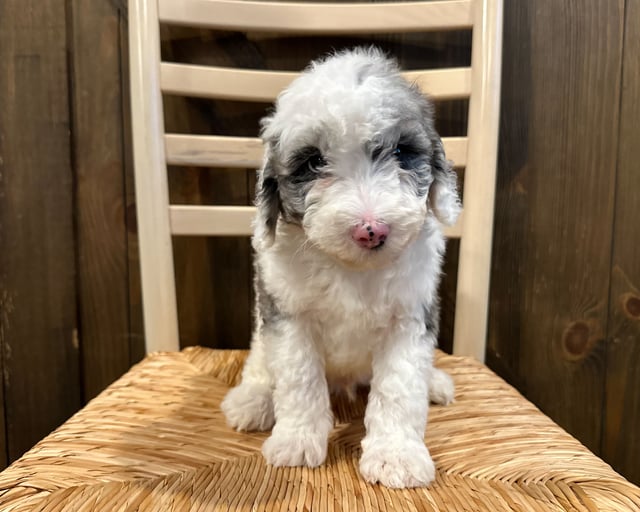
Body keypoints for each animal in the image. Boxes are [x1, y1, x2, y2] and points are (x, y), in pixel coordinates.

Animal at [221, 47, 460, 488]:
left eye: (401, 152)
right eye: (314, 162)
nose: (371, 230)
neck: (352, 269)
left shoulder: (409, 316)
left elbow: (401, 386)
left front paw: (396, 456)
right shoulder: (289, 316)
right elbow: (298, 380)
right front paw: (296, 441)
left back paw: (435, 383)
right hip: (262, 334)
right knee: (260, 365)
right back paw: (253, 400)